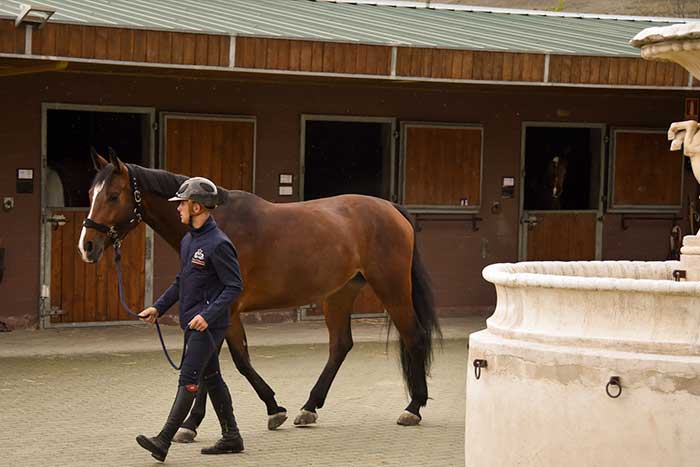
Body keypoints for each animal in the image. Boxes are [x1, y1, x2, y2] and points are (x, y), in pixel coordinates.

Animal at [79, 150, 440, 436]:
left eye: (113, 195)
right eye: (91, 193)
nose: (87, 246)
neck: (215, 226)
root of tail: (391, 208)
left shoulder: (224, 310)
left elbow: (229, 361)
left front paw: (259, 411)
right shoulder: (215, 313)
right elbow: (219, 363)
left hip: (391, 287)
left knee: (414, 335)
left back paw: (413, 407)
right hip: (338, 294)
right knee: (341, 345)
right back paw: (309, 407)